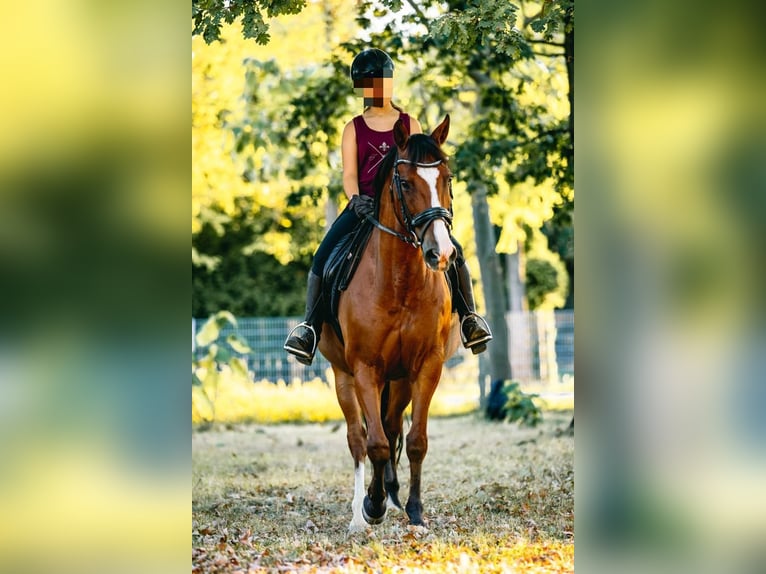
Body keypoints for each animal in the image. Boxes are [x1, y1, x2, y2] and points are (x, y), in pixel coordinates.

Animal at [318, 115, 462, 532]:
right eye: (406, 182)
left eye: (446, 178)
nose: (441, 253)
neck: (401, 283)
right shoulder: (366, 368)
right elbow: (376, 444)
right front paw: (373, 504)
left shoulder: (427, 366)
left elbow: (415, 441)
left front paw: (413, 509)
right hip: (344, 375)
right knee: (358, 438)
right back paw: (359, 512)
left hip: (399, 381)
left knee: (393, 424)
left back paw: (393, 493)